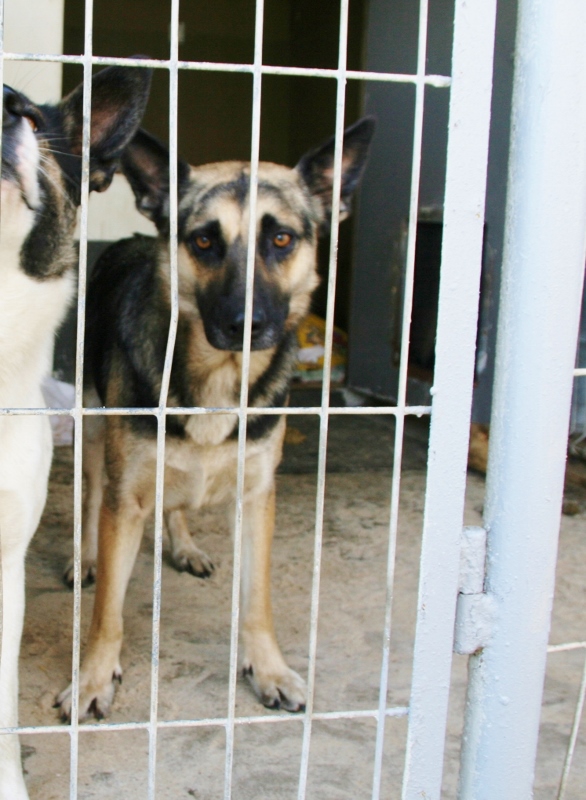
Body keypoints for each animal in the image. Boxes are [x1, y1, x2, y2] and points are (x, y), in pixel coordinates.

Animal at [55, 117, 375, 721]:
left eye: (282, 239)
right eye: (204, 240)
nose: (245, 325)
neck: (219, 378)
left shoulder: (257, 499)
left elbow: (257, 601)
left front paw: (267, 667)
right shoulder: (125, 500)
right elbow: (107, 612)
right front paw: (93, 678)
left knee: (176, 502)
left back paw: (184, 545)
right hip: (95, 434)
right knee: (91, 495)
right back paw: (84, 557)